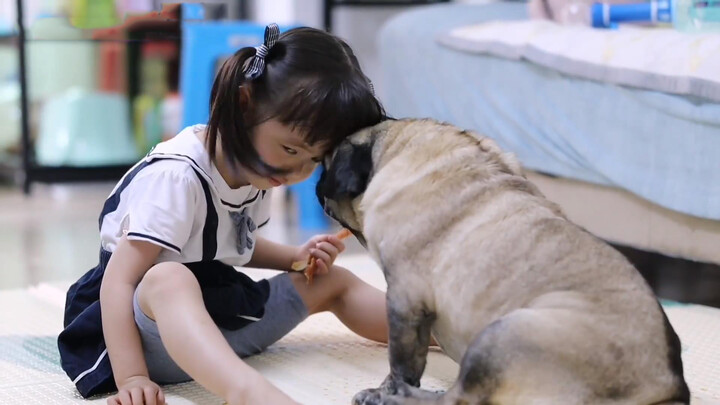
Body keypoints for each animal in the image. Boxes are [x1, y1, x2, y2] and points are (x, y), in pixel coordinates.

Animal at [316, 118, 688, 402]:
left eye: (326, 167)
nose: (317, 183)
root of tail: (666, 389)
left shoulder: (404, 301)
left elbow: (402, 362)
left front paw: (384, 390)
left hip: (501, 335)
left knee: (458, 399)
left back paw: (402, 397)